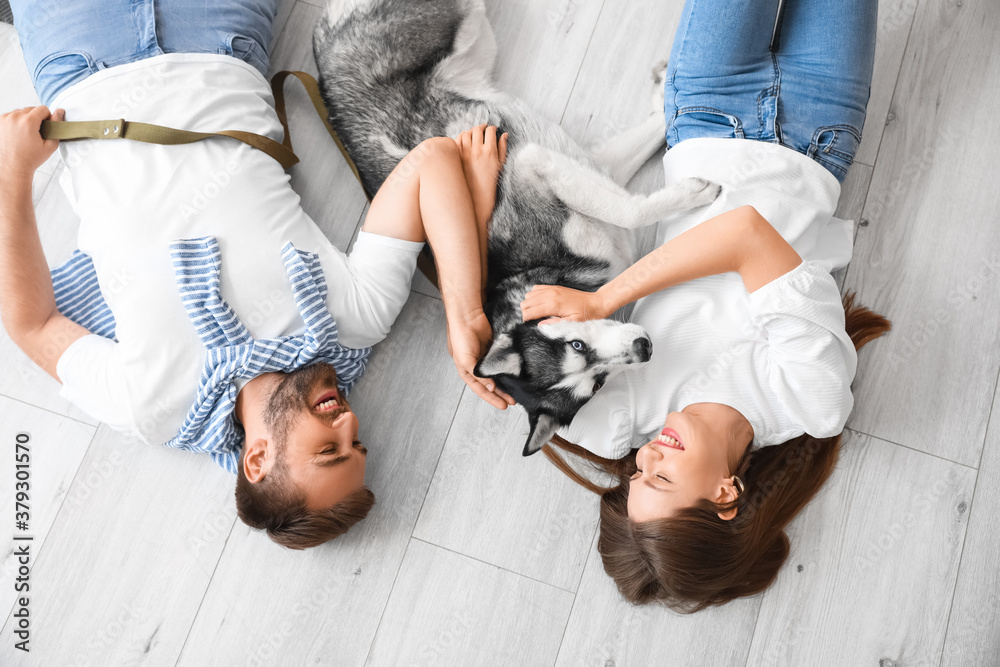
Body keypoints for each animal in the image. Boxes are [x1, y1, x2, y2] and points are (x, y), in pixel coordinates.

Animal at [314, 0, 720, 456]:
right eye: (596, 382)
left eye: (577, 344)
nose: (644, 347)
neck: (544, 275)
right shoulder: (570, 168)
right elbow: (632, 203)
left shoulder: (542, 163)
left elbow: (631, 196)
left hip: (463, 26)